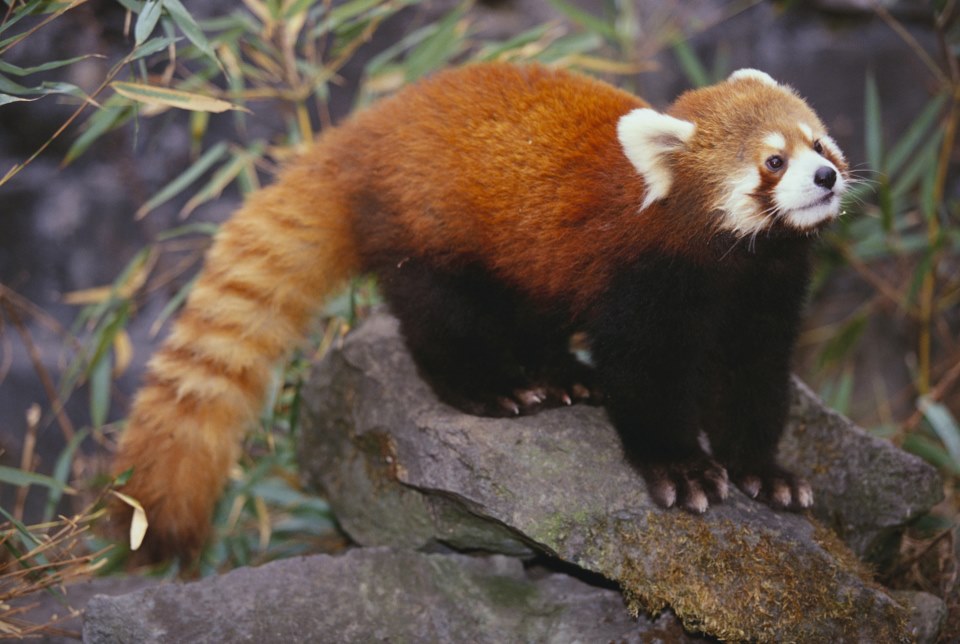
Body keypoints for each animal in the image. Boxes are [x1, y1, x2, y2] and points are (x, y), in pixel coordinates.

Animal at [110, 63, 848, 560]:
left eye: (819, 142)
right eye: (773, 161)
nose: (827, 177)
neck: (733, 264)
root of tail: (361, 133)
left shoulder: (764, 294)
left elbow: (752, 378)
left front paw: (764, 472)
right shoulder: (643, 281)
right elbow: (647, 378)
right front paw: (682, 470)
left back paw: (561, 375)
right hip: (430, 237)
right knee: (443, 323)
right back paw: (495, 389)